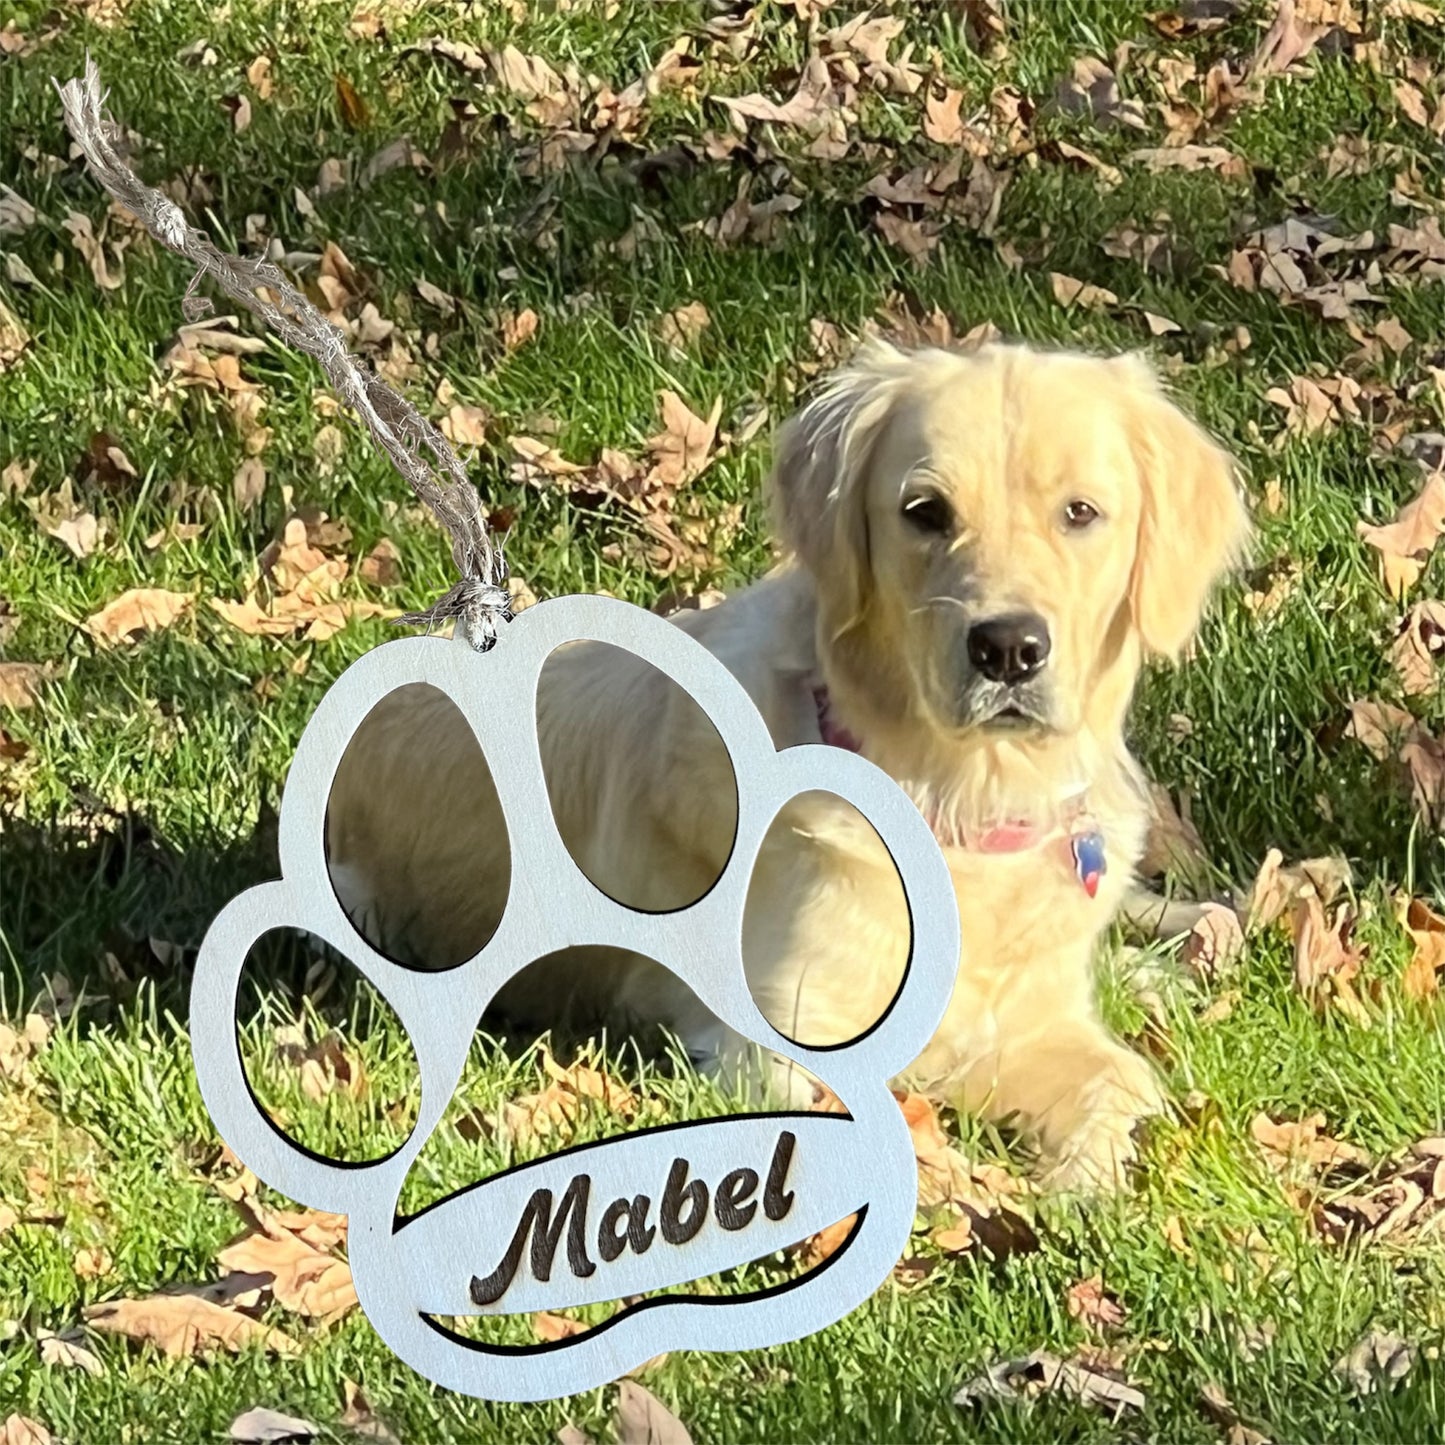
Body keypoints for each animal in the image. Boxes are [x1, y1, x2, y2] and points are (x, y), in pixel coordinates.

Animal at [328, 341, 1254, 1196]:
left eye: (1080, 512)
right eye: (924, 511)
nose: (1008, 648)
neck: (960, 797)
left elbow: (1120, 1077)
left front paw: (1081, 1180)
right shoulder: (774, 1038)